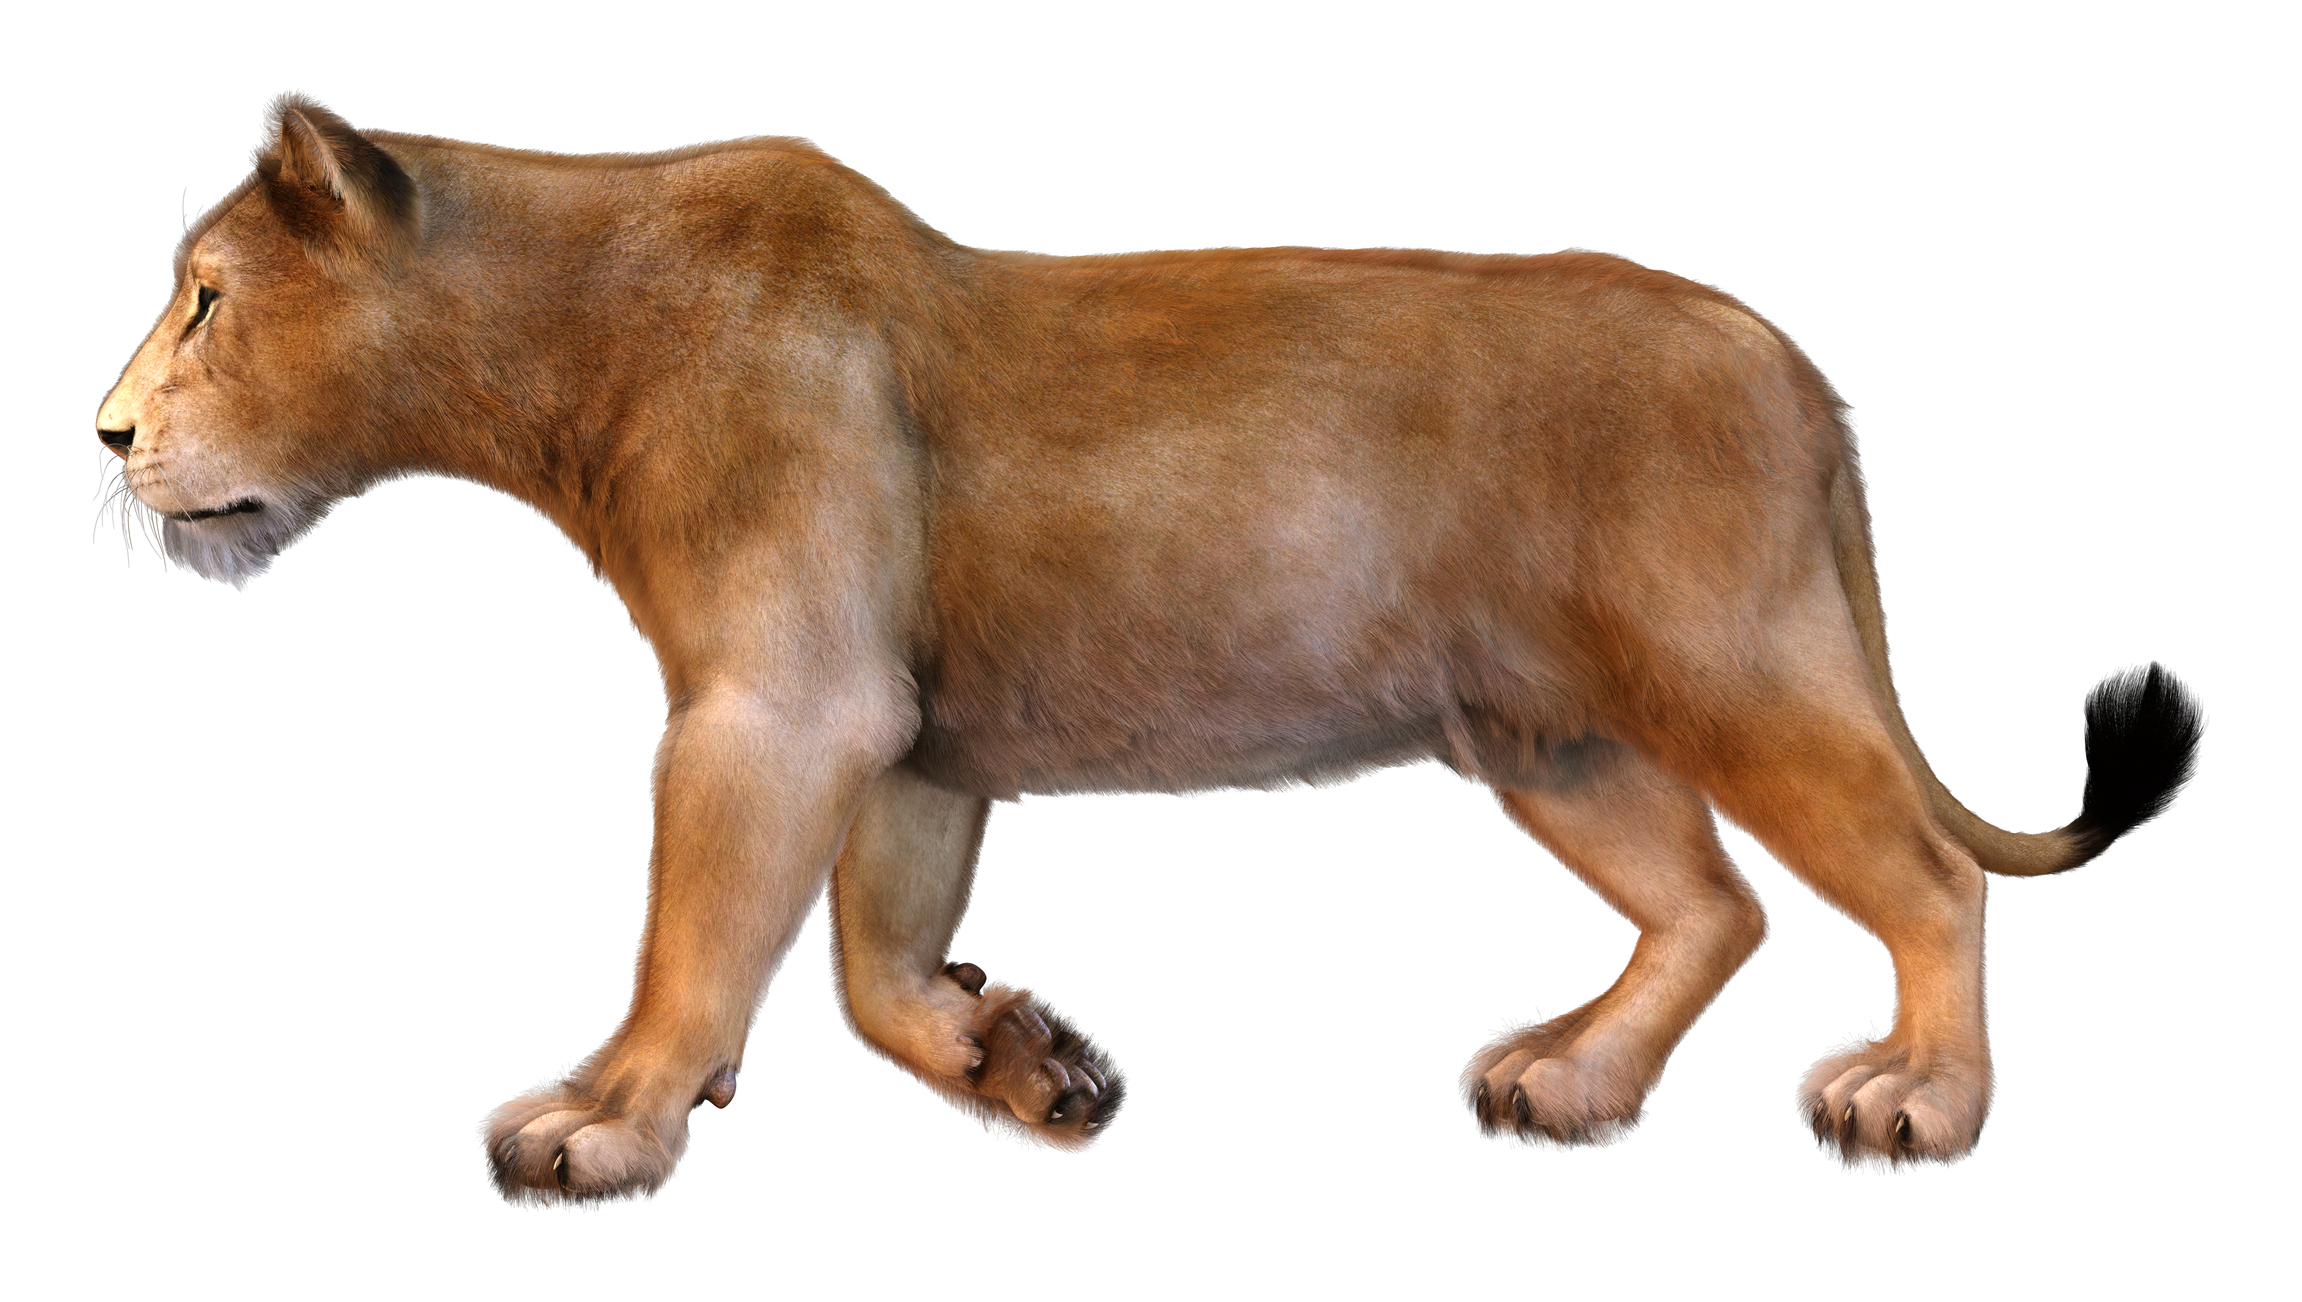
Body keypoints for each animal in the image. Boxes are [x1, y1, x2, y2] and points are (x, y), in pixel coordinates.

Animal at [97, 96, 2201, 1203]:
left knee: (1923, 873)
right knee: (1714, 906)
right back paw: (1570, 1081)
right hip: (1550, 737)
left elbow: (698, 933)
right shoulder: (910, 737)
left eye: (204, 298)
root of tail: (1801, 372)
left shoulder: (782, 706)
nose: (104, 434)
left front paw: (601, 1117)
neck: (557, 334)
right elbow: (866, 966)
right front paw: (1025, 1061)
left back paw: (1915, 1101)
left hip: (1734, 670)